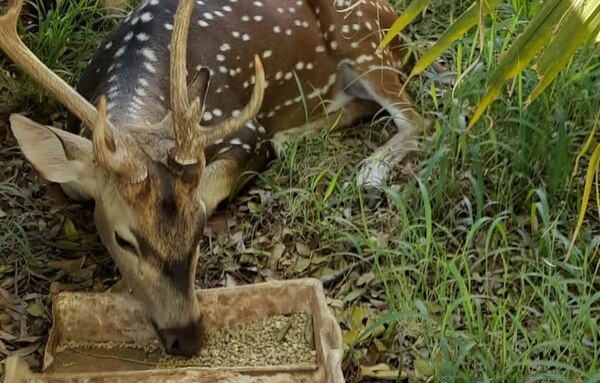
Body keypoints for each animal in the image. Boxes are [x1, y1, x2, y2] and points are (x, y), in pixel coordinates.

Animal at [0, 0, 426, 356]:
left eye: (201, 225)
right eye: (123, 239)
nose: (186, 337)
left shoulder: (246, 130)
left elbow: (213, 183)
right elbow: (73, 184)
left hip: (362, 38)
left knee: (418, 118)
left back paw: (368, 173)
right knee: (366, 106)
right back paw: (294, 137)